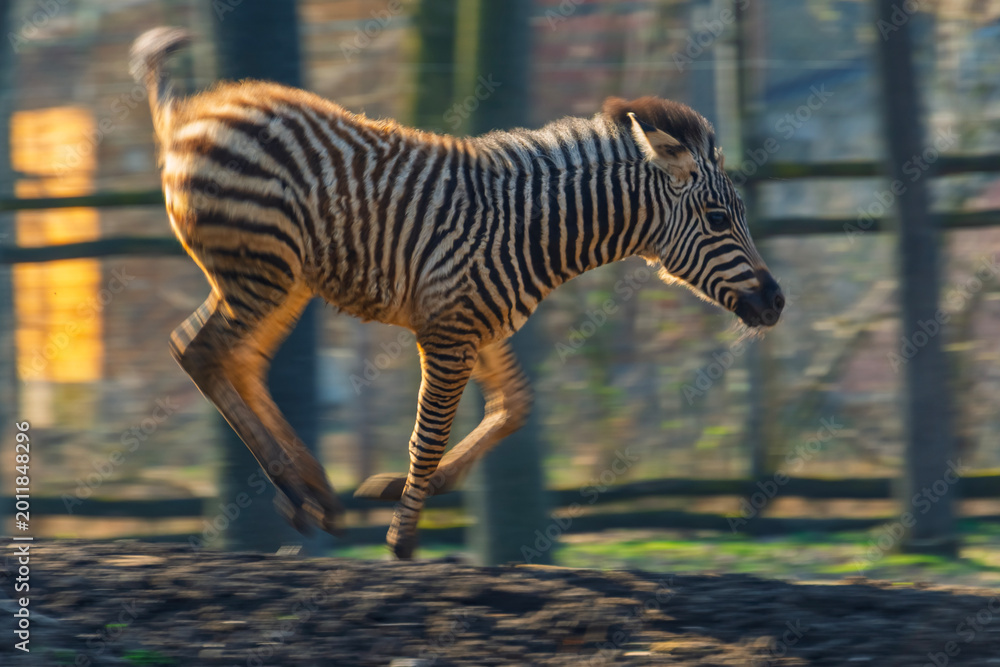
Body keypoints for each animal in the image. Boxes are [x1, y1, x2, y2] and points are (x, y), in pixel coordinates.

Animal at [131, 27, 784, 559]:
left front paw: (404, 490)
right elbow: (429, 435)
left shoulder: (478, 327)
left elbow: (513, 407)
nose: (777, 302)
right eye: (718, 219)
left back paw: (314, 495)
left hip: (280, 280)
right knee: (199, 349)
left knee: (236, 358)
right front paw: (403, 537)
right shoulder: (446, 332)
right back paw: (302, 490)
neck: (529, 230)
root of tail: (190, 109)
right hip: (261, 271)